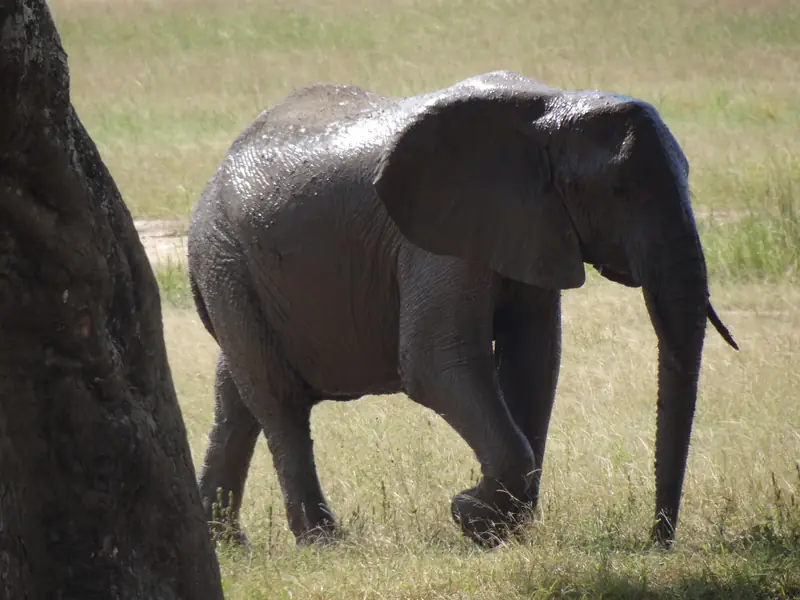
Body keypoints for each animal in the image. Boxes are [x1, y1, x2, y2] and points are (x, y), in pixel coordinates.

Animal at [187, 70, 738, 549]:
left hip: (237, 273)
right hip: (226, 260)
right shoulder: (436, 239)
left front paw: (495, 527)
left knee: (236, 397)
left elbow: (535, 360)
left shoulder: (533, 225)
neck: (552, 108)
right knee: (278, 400)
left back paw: (225, 543)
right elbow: (437, 362)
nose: (658, 542)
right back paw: (324, 544)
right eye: (619, 192)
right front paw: (471, 516)